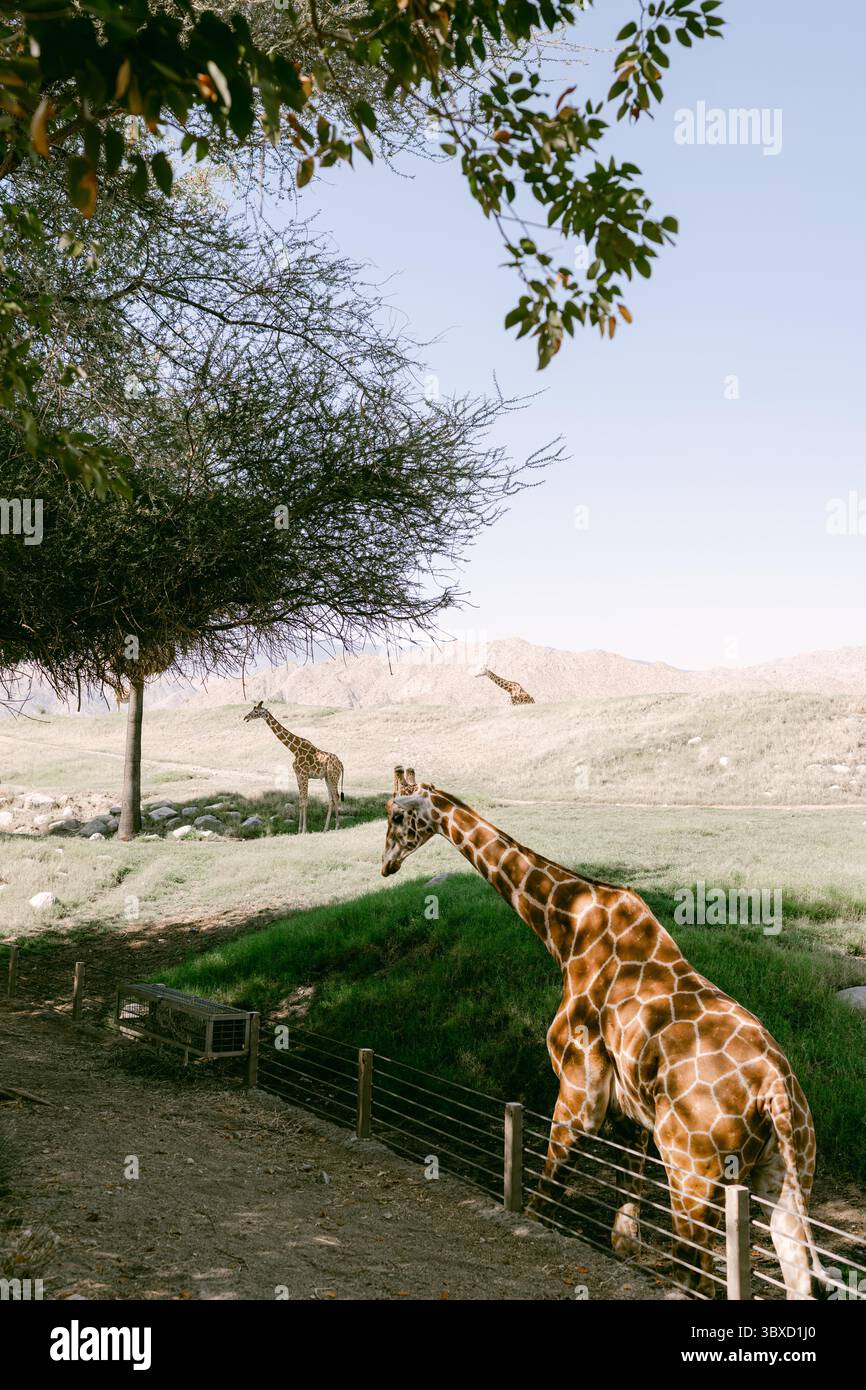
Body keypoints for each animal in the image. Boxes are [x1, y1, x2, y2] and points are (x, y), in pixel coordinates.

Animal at [244, 702, 344, 832]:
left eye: (256, 711)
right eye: (253, 709)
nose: (245, 717)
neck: (294, 750)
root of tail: (341, 763)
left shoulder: (304, 775)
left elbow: (305, 801)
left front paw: (304, 830)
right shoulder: (298, 775)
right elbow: (300, 801)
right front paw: (299, 830)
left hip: (333, 776)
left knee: (336, 797)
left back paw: (337, 826)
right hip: (327, 777)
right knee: (331, 799)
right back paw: (325, 828)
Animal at [381, 785, 824, 1300]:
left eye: (395, 816)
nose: (386, 865)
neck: (567, 930)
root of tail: (775, 1089)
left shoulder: (579, 1091)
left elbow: (546, 1193)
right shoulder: (634, 1115)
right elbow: (624, 1207)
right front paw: (624, 1245)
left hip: (695, 1171)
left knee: (697, 1270)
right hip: (788, 1175)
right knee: (792, 1271)